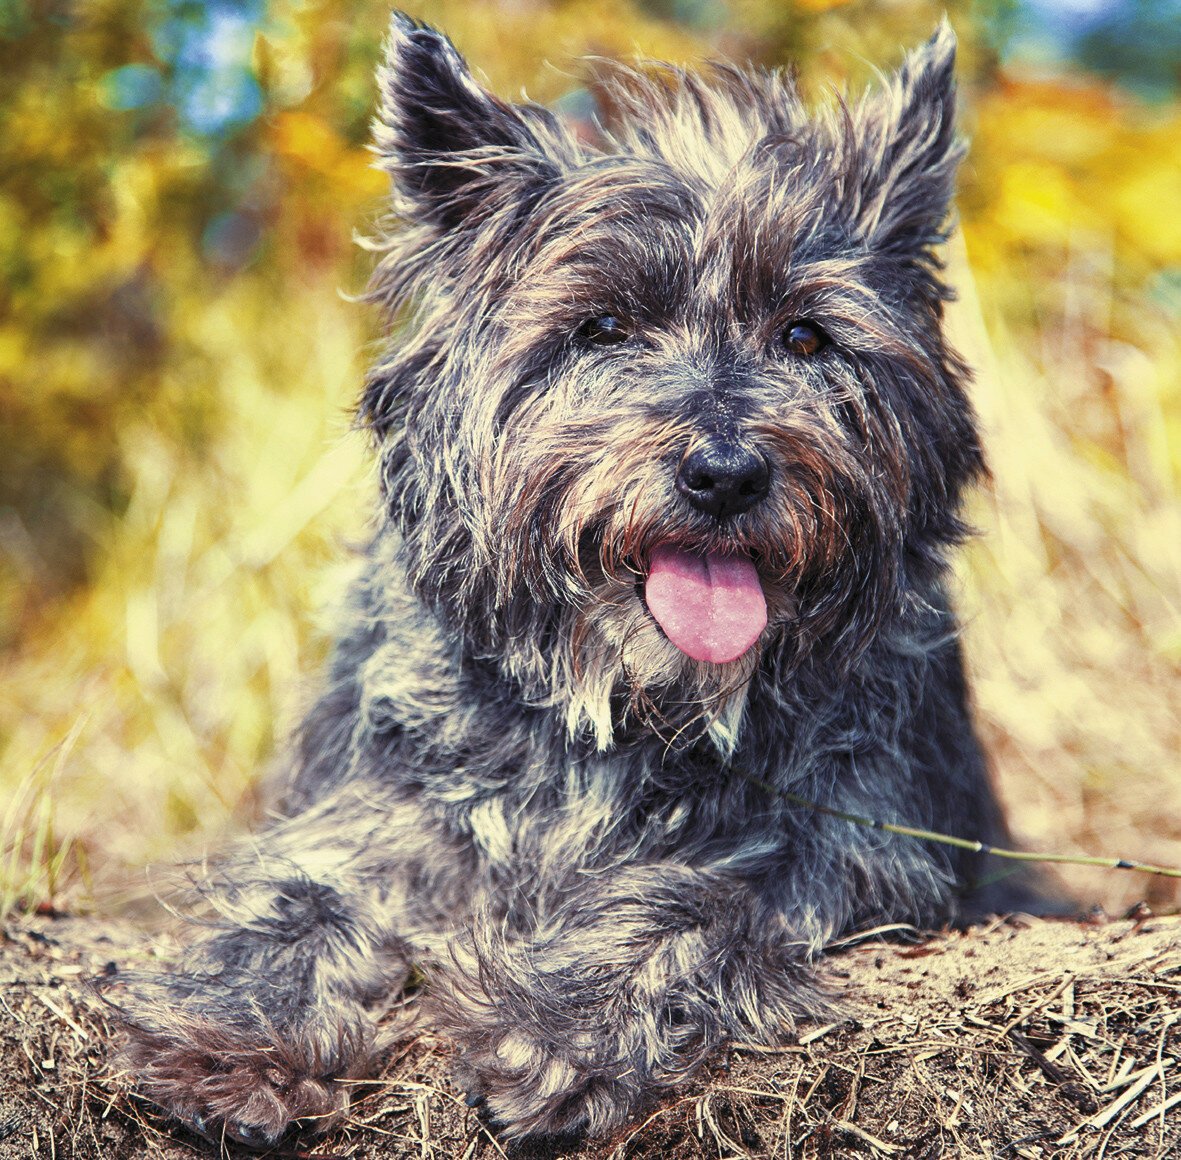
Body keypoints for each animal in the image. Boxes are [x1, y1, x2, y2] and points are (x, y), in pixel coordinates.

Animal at [108, 13, 1034, 1148]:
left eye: (805, 334)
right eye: (599, 326)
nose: (724, 472)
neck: (628, 706)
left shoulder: (854, 835)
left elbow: (693, 897)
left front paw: (556, 1031)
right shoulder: (386, 803)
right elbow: (306, 890)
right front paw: (235, 1031)